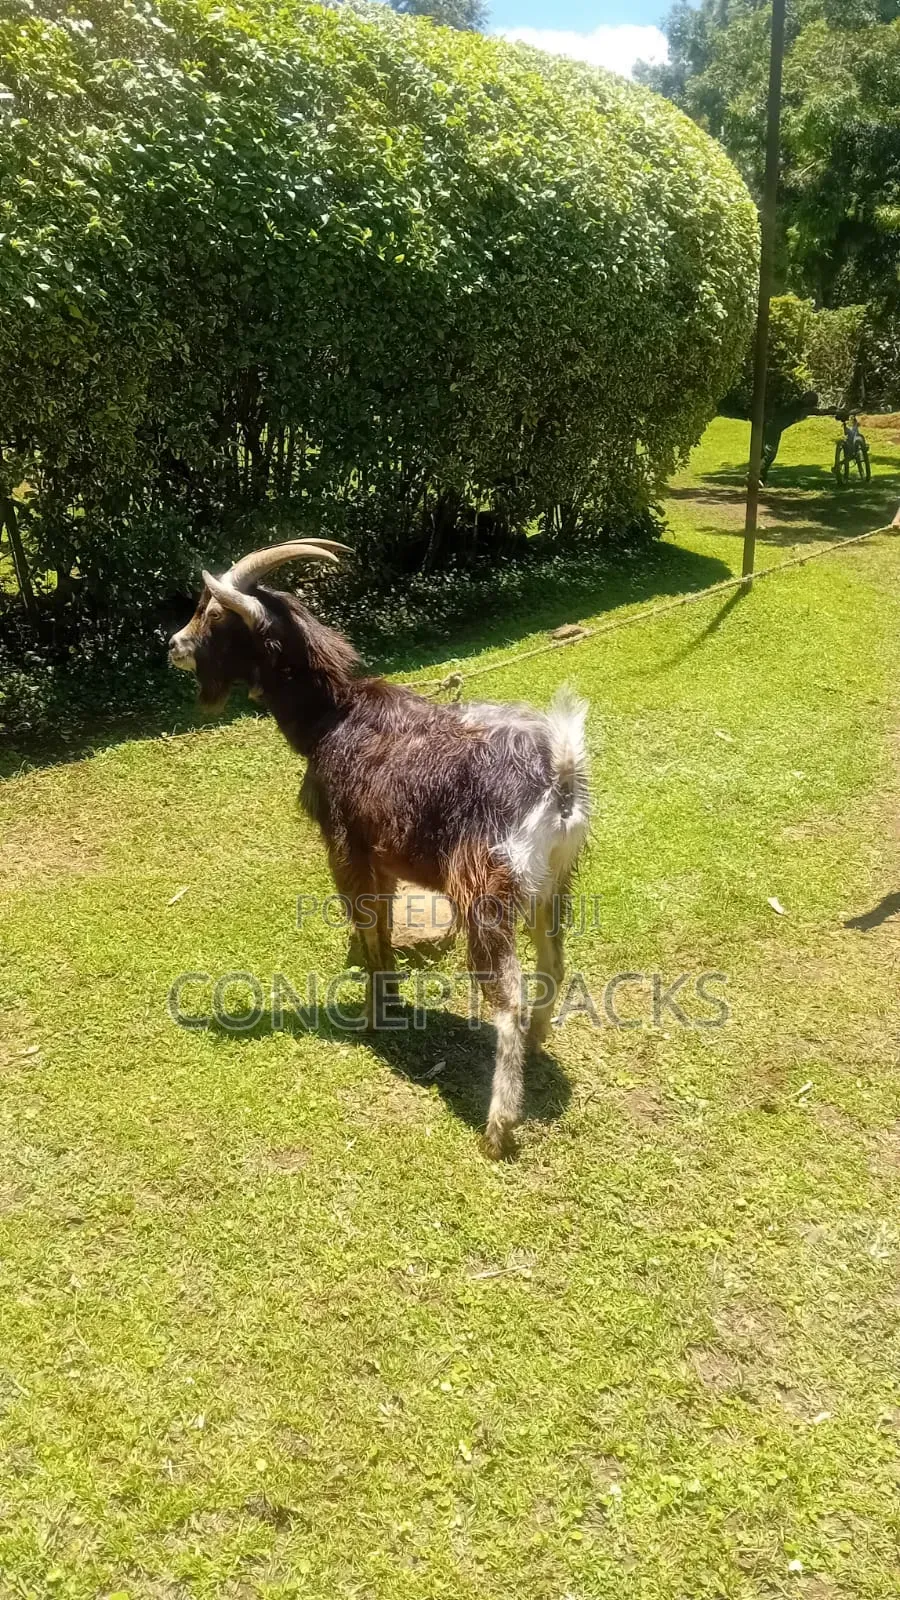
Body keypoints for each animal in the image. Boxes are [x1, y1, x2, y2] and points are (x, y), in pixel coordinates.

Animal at [169, 540, 590, 1155]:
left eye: (216, 613)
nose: (171, 645)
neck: (334, 717)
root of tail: (558, 775)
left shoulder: (348, 849)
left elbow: (366, 932)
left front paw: (372, 1017)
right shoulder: (386, 860)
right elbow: (385, 930)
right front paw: (388, 1001)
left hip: (485, 888)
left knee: (506, 996)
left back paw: (498, 1125)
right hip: (552, 884)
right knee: (554, 963)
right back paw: (536, 1044)